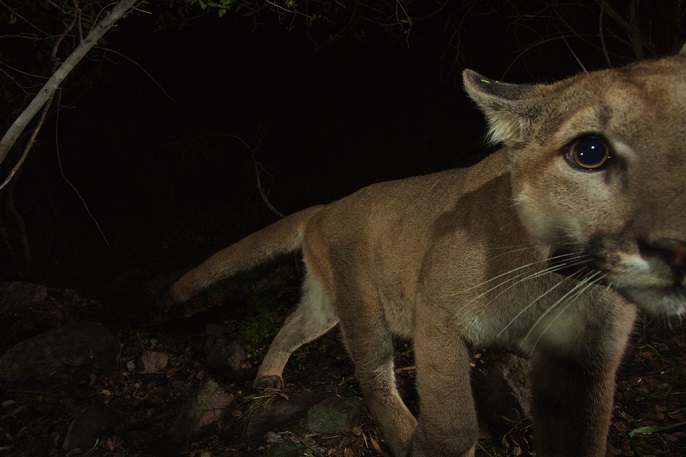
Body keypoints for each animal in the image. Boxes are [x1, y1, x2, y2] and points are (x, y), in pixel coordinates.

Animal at [167, 48, 686, 454]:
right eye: (590, 152)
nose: (675, 245)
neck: (555, 278)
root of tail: (327, 205)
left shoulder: (586, 361)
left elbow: (579, 438)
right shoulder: (436, 310)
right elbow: (453, 422)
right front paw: (431, 442)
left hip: (326, 303)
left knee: (295, 323)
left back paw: (268, 377)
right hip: (361, 301)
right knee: (373, 372)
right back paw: (402, 435)